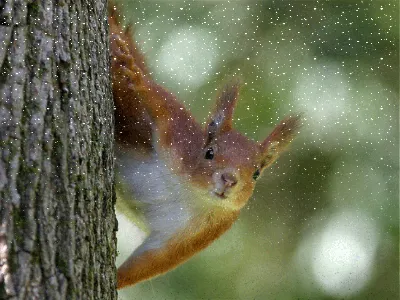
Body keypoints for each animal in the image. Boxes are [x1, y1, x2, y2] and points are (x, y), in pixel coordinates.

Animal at [108, 1, 302, 288]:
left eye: (256, 173)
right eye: (209, 152)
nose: (229, 180)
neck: (191, 193)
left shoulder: (199, 233)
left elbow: (152, 260)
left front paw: (116, 281)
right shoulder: (177, 138)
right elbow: (161, 103)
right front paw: (136, 76)